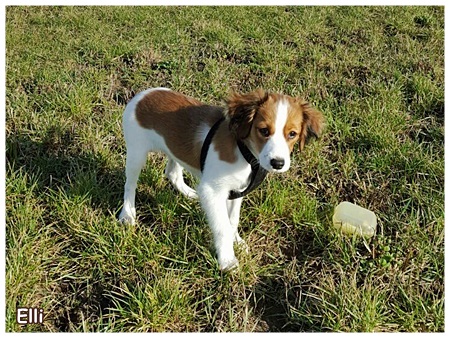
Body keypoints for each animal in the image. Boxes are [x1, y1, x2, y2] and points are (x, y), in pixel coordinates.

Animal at [119, 88, 324, 272]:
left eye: (292, 134)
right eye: (264, 131)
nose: (278, 163)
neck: (243, 150)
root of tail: (142, 95)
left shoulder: (237, 190)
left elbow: (232, 220)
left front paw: (237, 242)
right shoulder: (213, 191)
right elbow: (222, 227)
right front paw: (227, 260)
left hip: (173, 148)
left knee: (172, 172)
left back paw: (190, 194)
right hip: (136, 152)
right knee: (130, 184)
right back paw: (127, 214)